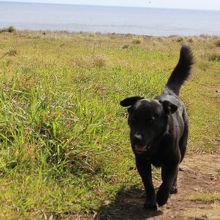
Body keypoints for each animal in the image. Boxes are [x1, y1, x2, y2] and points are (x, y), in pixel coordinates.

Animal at [119, 44, 193, 210]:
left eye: (152, 120)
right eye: (133, 117)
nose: (136, 139)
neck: (156, 144)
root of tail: (169, 92)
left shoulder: (172, 160)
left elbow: (167, 180)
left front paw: (162, 197)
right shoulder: (141, 163)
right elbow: (148, 184)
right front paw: (150, 200)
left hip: (183, 148)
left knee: (174, 174)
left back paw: (173, 187)